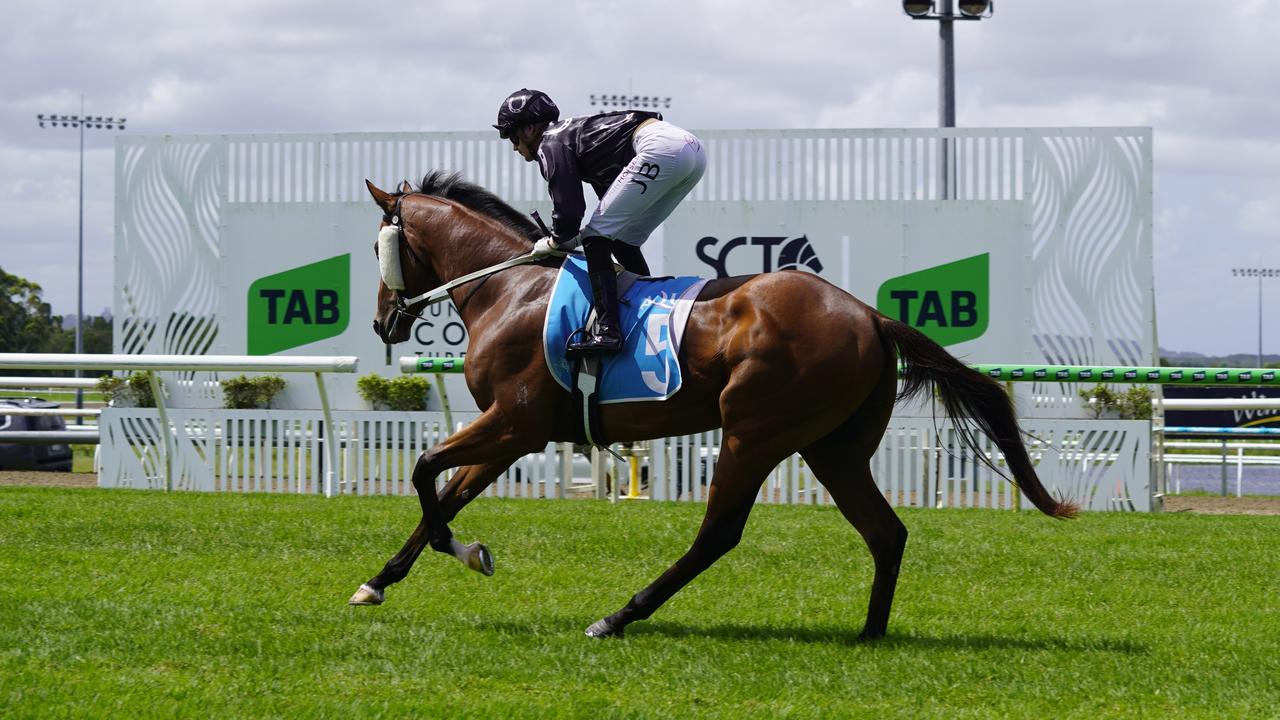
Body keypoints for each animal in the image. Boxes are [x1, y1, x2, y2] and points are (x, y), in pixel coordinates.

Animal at [348, 170, 1070, 635]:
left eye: (379, 248)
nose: (384, 323)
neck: (506, 291)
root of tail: (868, 314)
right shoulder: (511, 433)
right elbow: (447, 492)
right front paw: (380, 579)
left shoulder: (514, 424)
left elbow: (426, 475)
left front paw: (464, 552)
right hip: (834, 448)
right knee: (885, 532)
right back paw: (870, 633)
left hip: (755, 431)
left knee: (720, 532)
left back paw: (620, 616)